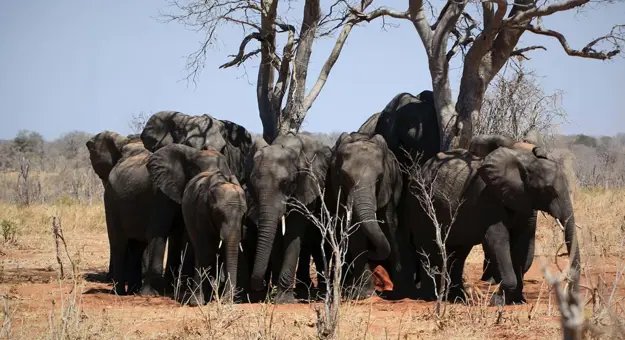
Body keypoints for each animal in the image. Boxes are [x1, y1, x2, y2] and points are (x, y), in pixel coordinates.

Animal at [147, 143, 247, 306]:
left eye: (244, 215)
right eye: (217, 213)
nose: (226, 301)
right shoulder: (201, 208)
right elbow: (205, 248)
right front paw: (199, 302)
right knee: (202, 248)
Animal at [246, 132, 332, 302]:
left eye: (285, 182)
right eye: (253, 184)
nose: (260, 285)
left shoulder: (307, 182)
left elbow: (293, 230)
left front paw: (284, 299)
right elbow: (277, 233)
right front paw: (277, 295)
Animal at [324, 132, 412, 298]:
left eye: (379, 177)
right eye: (344, 176)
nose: (372, 252)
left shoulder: (388, 186)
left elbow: (389, 223)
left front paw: (401, 292)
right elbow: (356, 230)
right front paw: (364, 294)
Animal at [404, 142, 580, 304]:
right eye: (548, 190)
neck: (522, 161)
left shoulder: (524, 199)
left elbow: (523, 242)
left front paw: (517, 301)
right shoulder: (487, 197)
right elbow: (497, 240)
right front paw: (497, 301)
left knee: (459, 252)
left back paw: (458, 299)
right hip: (419, 202)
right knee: (428, 246)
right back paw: (431, 297)